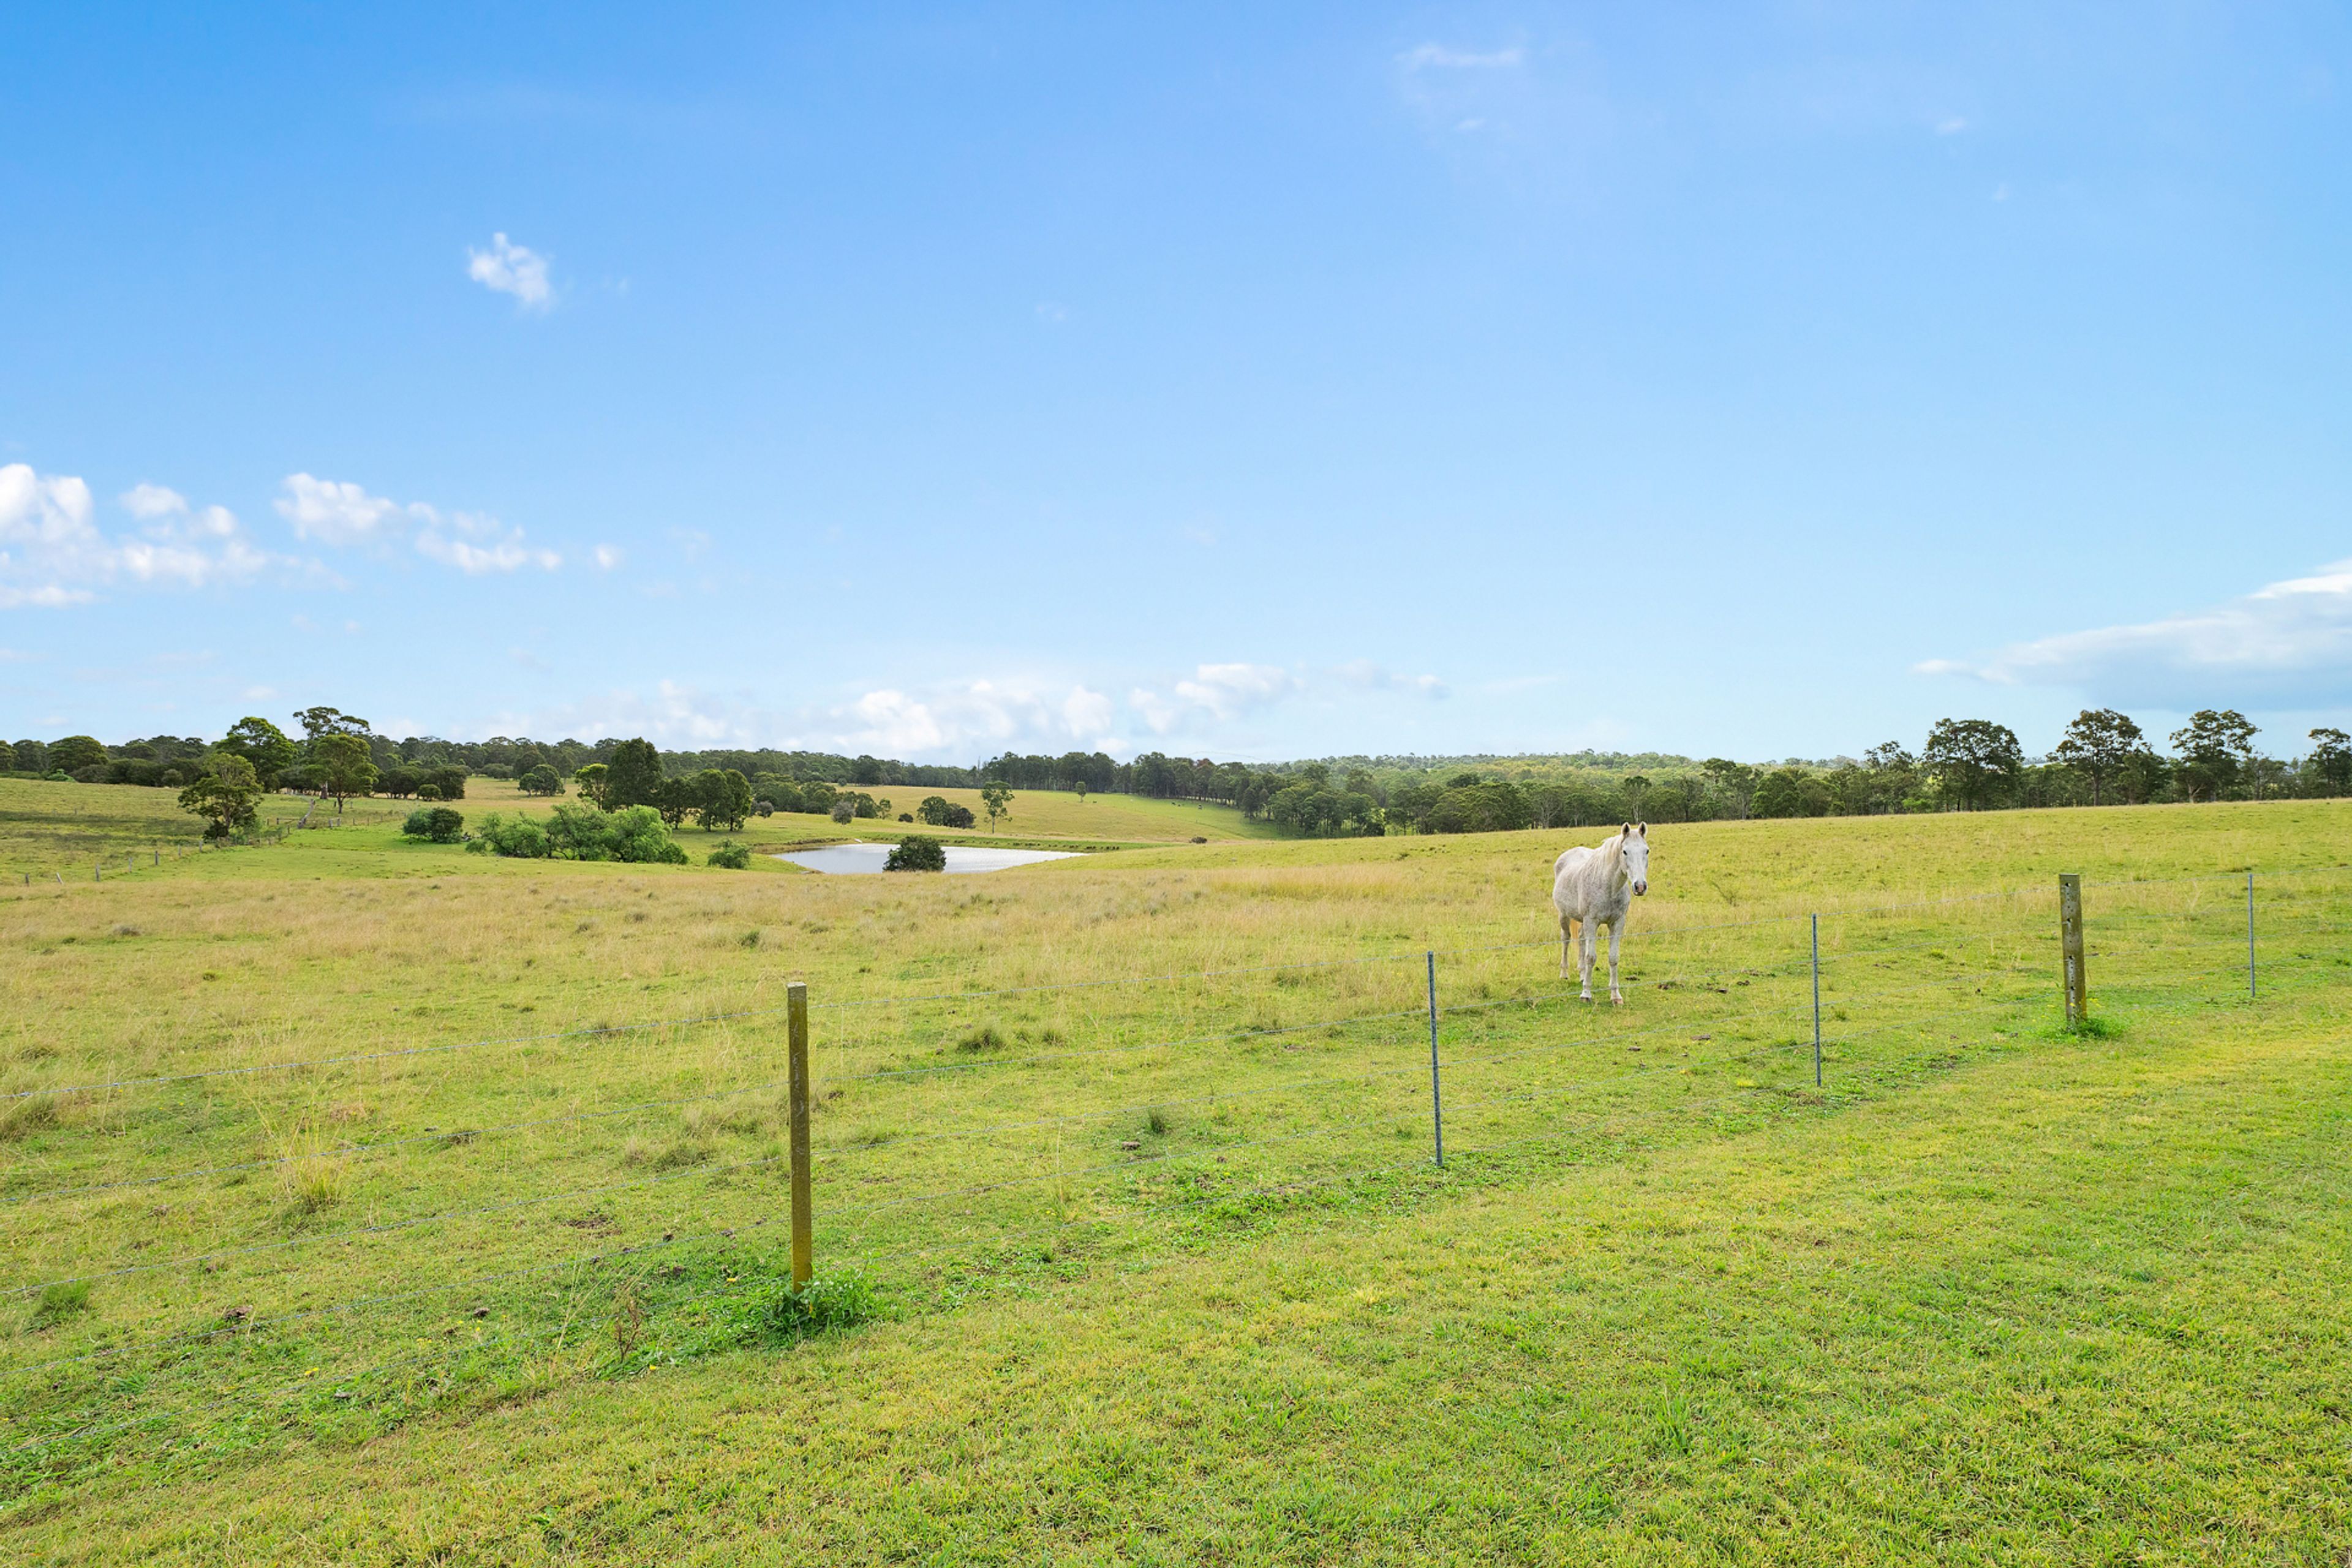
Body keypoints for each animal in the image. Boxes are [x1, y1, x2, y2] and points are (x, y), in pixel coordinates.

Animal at [1552, 823, 1651, 1004]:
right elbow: (1591, 957)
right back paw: (1564, 973)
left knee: (1581, 939)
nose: (1640, 886)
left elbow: (1613, 958)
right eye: (1625, 851)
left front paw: (1616, 996)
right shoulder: (1592, 921)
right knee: (1566, 939)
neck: (1609, 887)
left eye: (1646, 851)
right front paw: (1586, 994)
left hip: (1582, 921)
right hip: (1564, 915)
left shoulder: (1617, 923)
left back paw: (1583, 975)